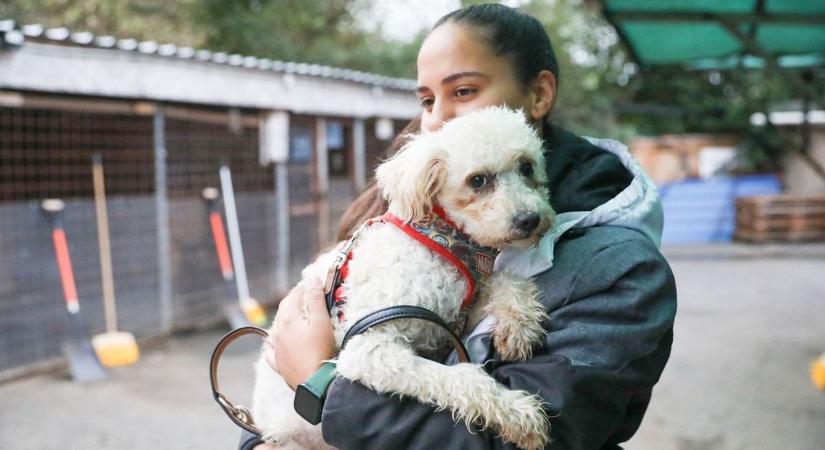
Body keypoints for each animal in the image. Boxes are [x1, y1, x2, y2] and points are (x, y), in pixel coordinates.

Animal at [254, 106, 556, 450]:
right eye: (477, 180)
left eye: (527, 167)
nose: (529, 219)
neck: (439, 240)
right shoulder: (367, 349)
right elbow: (462, 376)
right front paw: (518, 414)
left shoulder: (458, 312)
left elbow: (505, 279)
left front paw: (518, 325)